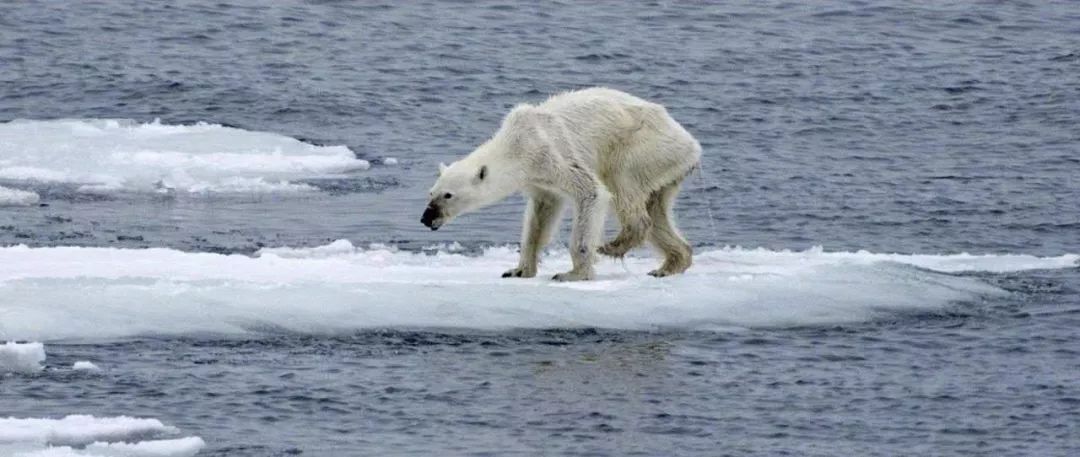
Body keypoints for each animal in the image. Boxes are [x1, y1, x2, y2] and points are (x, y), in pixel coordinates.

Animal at [421, 87, 701, 281]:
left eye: (448, 195)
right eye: (431, 192)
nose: (426, 218)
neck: (516, 144)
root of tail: (692, 144)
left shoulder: (551, 154)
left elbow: (591, 192)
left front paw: (572, 274)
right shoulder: (538, 179)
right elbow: (540, 216)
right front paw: (519, 270)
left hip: (643, 147)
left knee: (623, 185)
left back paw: (613, 245)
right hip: (665, 167)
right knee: (657, 210)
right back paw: (670, 264)